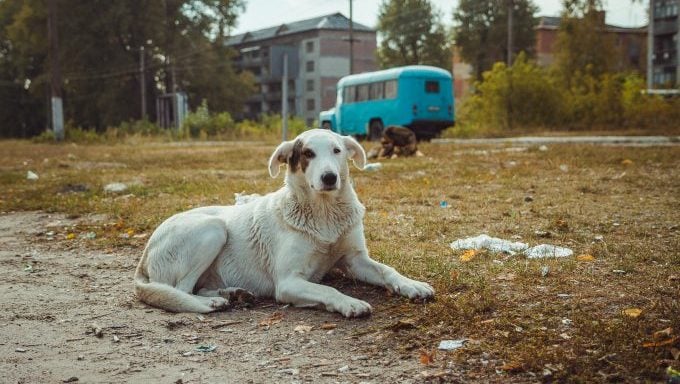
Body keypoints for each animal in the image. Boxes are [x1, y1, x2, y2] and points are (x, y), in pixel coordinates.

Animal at [134, 127, 436, 316]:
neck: (324, 213)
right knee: (180, 290)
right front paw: (349, 303)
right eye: (308, 154)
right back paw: (213, 303)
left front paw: (412, 285)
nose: (329, 178)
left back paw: (233, 293)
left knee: (199, 286)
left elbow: (387, 271)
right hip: (213, 229)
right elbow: (327, 288)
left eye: (337, 151)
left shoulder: (355, 259)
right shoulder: (289, 282)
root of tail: (145, 254)